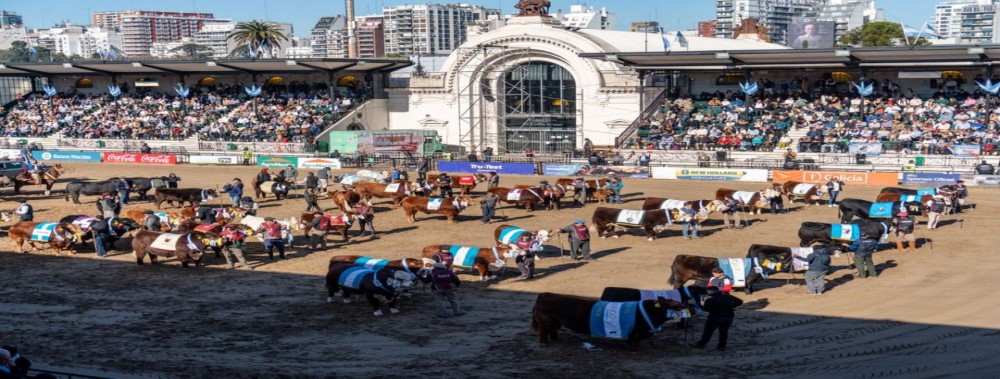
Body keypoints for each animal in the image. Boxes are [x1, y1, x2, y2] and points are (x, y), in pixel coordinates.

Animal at [532, 294, 688, 350]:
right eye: (670, 303)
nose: (683, 304)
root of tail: (544, 294)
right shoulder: (633, 332)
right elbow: (633, 342)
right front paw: (633, 349)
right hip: (546, 322)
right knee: (543, 333)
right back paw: (544, 343)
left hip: (556, 322)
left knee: (554, 331)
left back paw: (555, 340)